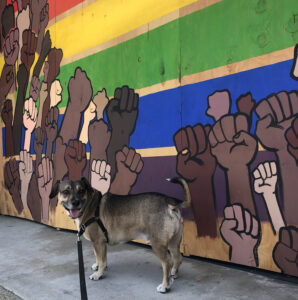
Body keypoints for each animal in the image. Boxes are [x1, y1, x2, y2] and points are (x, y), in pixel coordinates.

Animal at [49, 176, 191, 292]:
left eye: (81, 191)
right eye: (66, 192)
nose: (75, 202)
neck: (89, 205)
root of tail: (169, 202)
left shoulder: (98, 242)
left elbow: (101, 260)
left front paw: (98, 274)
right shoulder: (100, 244)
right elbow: (100, 258)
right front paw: (98, 267)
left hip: (157, 244)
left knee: (167, 262)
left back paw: (165, 285)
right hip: (173, 242)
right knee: (177, 258)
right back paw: (173, 274)